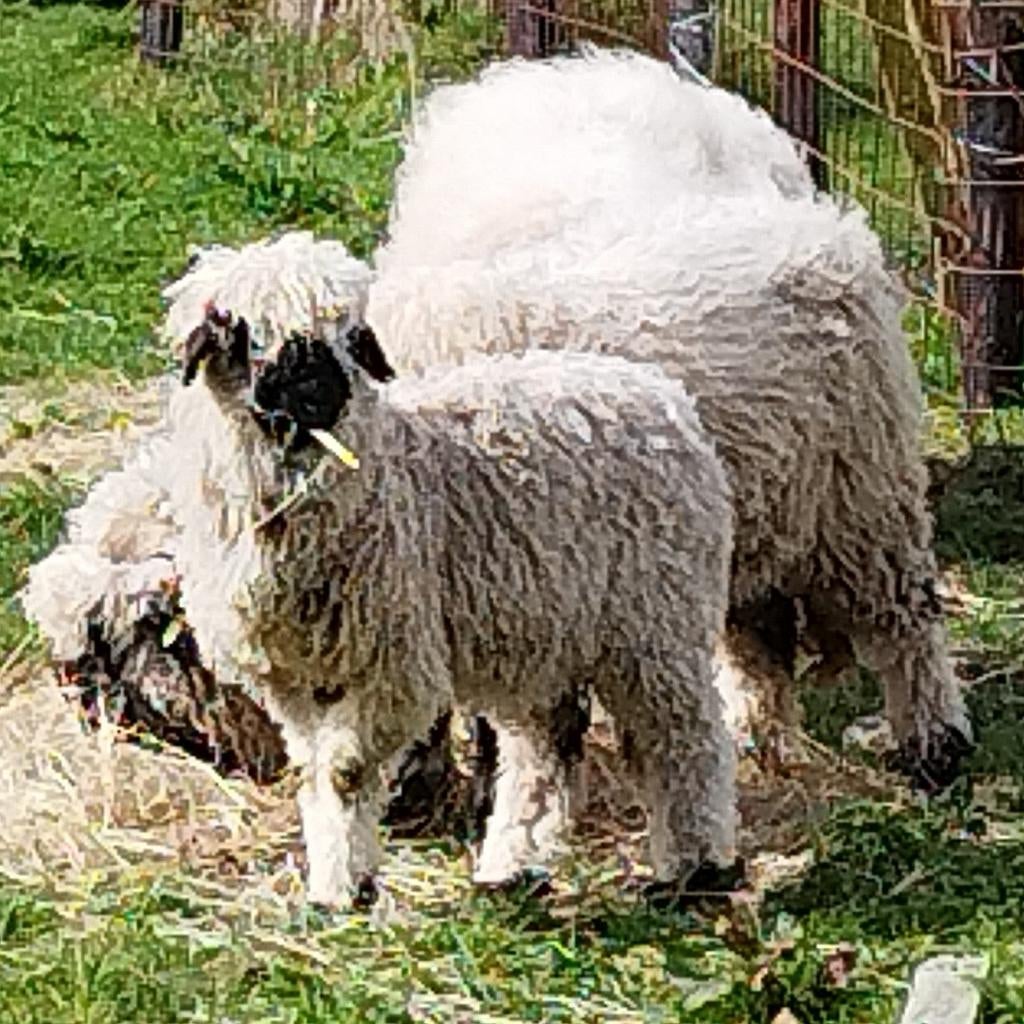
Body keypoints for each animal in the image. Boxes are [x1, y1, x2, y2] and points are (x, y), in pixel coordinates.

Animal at [146, 265, 738, 907]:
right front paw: (331, 887)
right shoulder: (292, 679)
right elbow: (312, 771)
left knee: (684, 737)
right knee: (544, 749)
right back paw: (513, 869)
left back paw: (698, 871)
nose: (320, 395)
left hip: (657, 621)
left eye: (351, 336)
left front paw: (349, 884)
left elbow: (344, 770)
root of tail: (662, 395)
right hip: (545, 628)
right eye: (246, 334)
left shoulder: (395, 665)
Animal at [366, 45, 973, 792]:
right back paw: (758, 733)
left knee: (903, 616)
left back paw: (933, 744)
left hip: (860, 487)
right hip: (760, 497)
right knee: (759, 628)